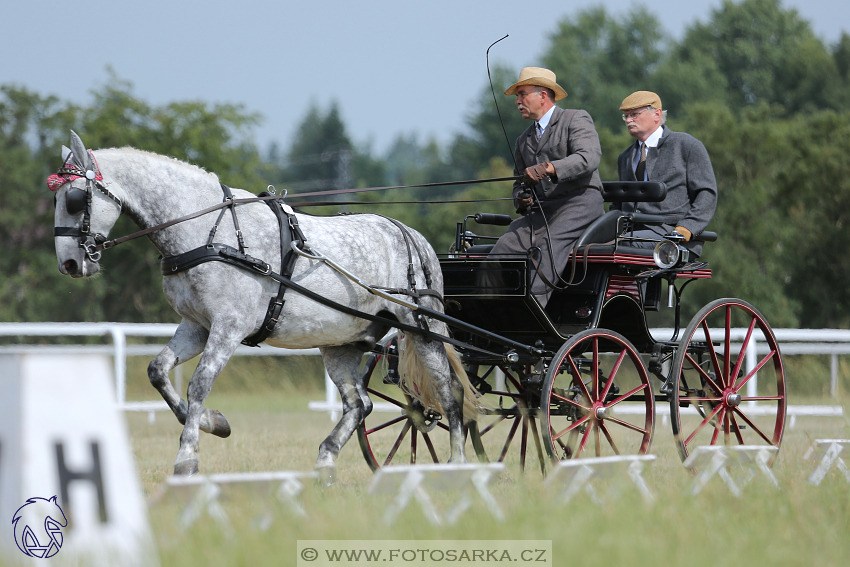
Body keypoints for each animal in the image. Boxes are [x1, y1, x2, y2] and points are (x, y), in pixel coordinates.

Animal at [51, 132, 476, 480]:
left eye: (73, 198)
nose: (69, 263)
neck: (209, 232)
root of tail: (410, 235)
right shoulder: (196, 326)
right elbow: (158, 371)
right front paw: (213, 422)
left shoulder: (228, 327)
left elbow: (199, 383)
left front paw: (187, 457)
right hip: (342, 342)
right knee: (360, 405)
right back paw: (325, 462)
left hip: (421, 327)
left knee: (449, 391)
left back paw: (456, 465)